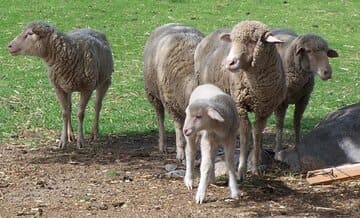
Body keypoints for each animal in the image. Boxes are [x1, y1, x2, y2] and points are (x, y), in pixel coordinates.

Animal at [144, 23, 205, 160]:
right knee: (160, 117)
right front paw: (181, 153)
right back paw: (162, 145)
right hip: (154, 96)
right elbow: (178, 128)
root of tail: (171, 23)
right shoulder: (171, 105)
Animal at [194, 20, 286, 180]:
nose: (229, 63)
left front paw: (255, 165)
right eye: (232, 41)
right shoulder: (239, 105)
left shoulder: (265, 110)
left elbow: (257, 133)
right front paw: (241, 169)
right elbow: (244, 133)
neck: (256, 88)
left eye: (253, 41)